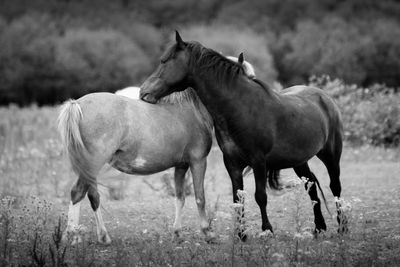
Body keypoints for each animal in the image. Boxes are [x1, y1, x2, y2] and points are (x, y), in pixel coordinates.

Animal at [140, 31, 346, 239]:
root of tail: (324, 97)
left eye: (164, 61)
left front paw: (267, 230)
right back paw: (319, 227)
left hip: (330, 154)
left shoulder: (258, 161)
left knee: (335, 186)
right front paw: (240, 234)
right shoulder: (232, 163)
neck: (241, 108)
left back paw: (342, 227)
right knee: (311, 185)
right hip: (299, 160)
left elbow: (260, 196)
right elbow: (237, 197)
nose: (143, 92)